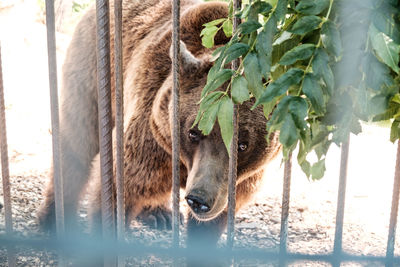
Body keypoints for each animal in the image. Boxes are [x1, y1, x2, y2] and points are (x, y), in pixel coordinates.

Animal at [38, 0, 282, 248]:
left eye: (242, 145)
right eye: (193, 133)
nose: (199, 200)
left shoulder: (238, 182)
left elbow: (212, 223)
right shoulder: (151, 142)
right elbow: (122, 187)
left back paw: (159, 213)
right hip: (92, 73)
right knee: (77, 143)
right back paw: (53, 218)